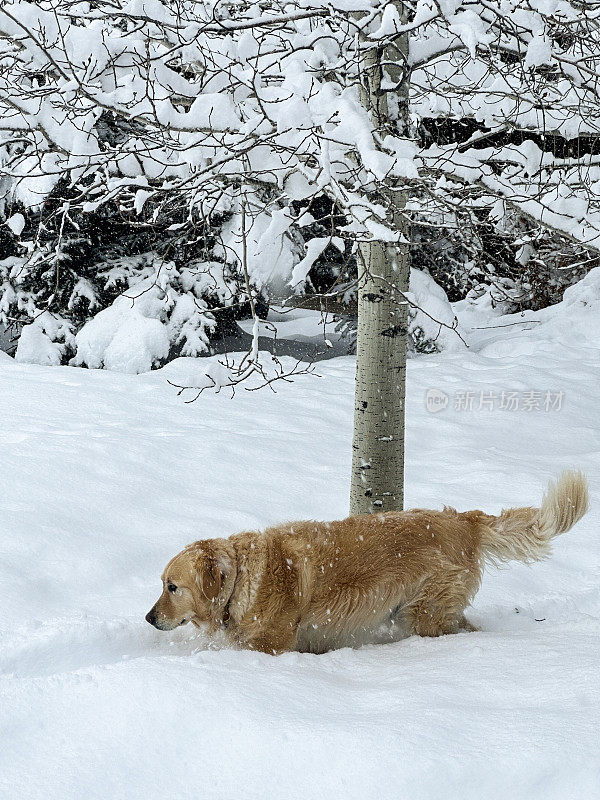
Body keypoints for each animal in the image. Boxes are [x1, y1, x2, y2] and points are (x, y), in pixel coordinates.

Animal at [145, 476, 584, 648]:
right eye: (162, 583)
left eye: (172, 587)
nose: (148, 619)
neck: (242, 579)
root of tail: (461, 520)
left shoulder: (272, 646)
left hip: (423, 613)